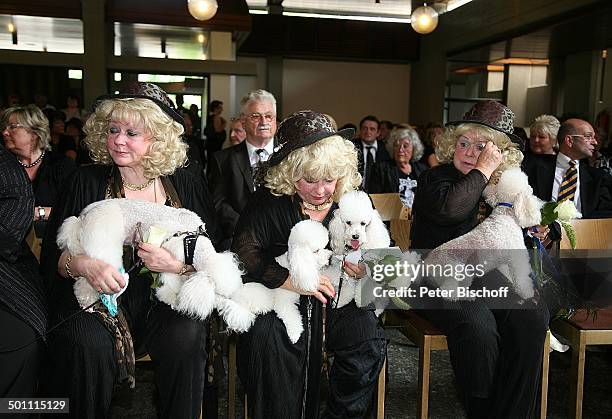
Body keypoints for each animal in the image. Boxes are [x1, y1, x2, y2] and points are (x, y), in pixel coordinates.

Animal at [424, 166, 544, 300]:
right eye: (528, 185)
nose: (532, 188)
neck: (505, 213)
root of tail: (426, 264)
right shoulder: (517, 258)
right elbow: (521, 278)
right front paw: (527, 292)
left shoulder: (506, 259)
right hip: (457, 272)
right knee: (447, 291)